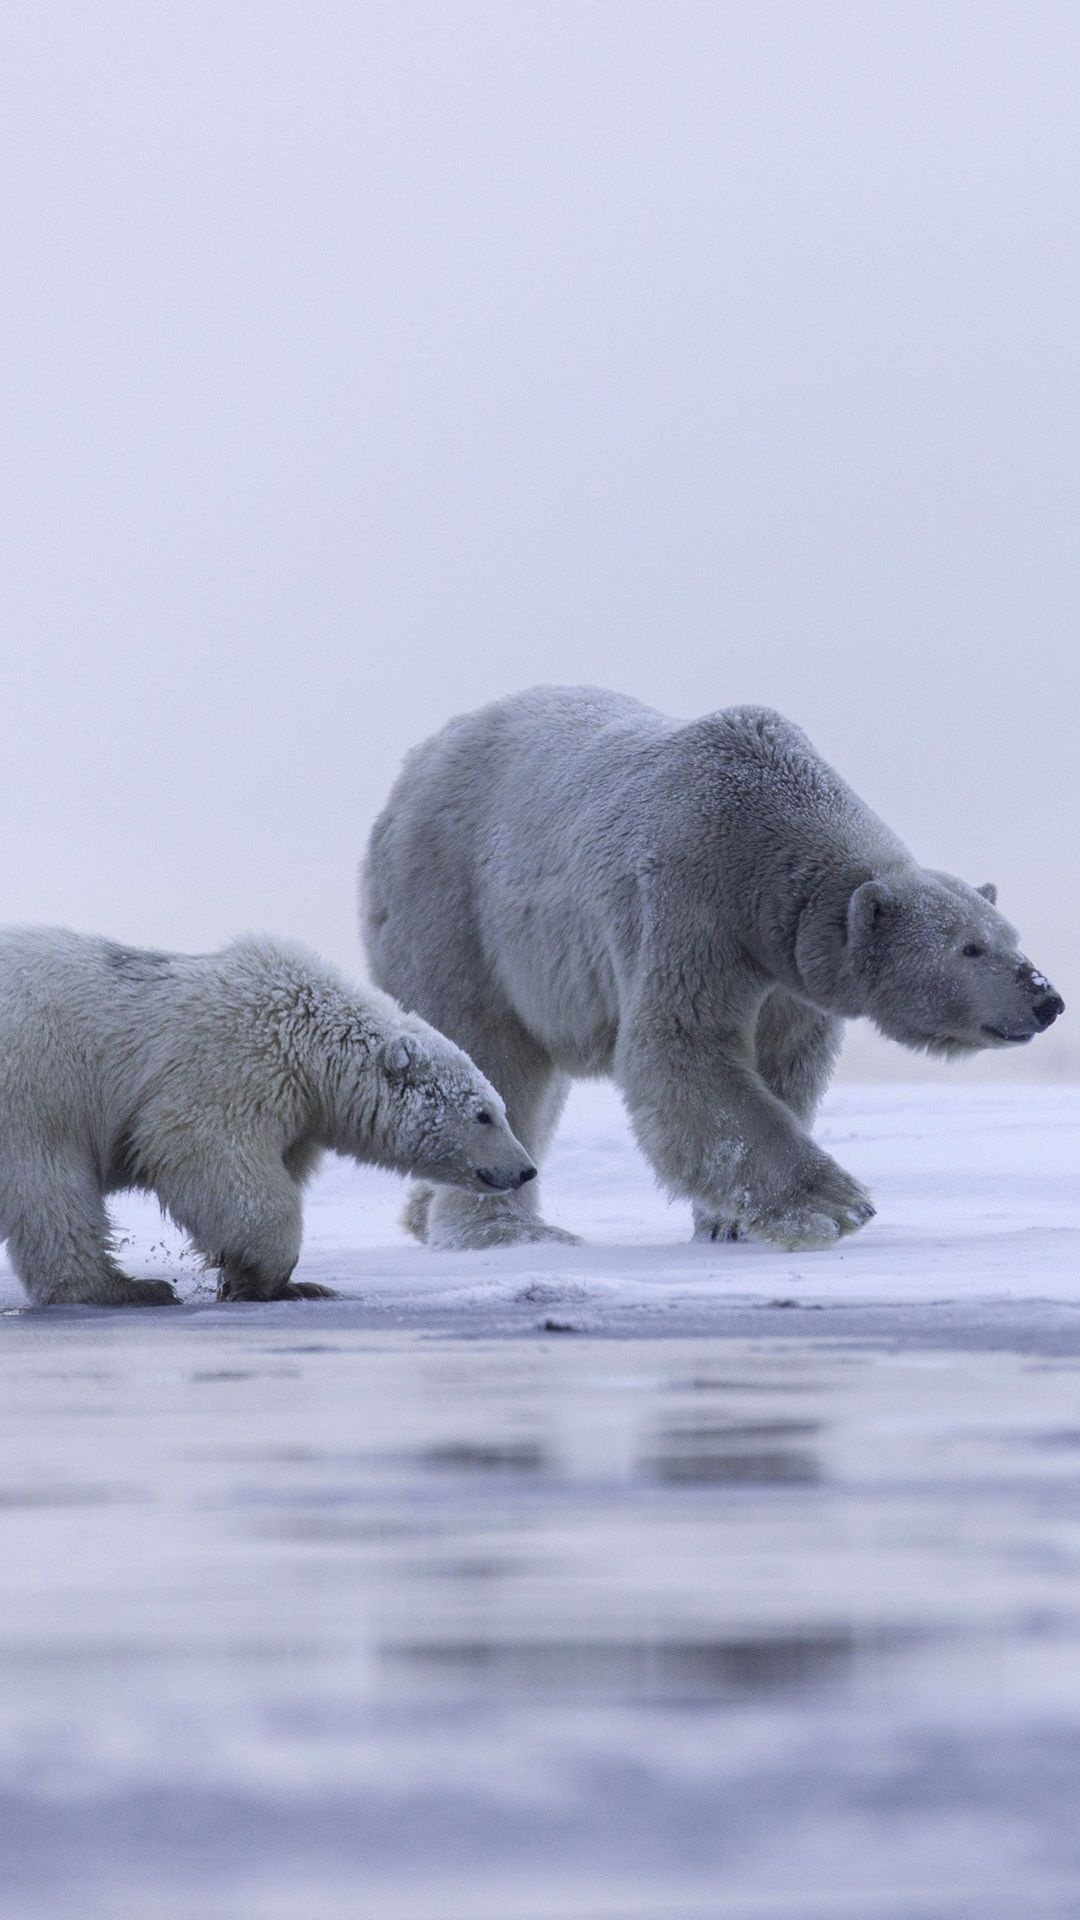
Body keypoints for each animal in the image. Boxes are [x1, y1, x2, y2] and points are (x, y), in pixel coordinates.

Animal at [0, 925, 534, 1305]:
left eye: (499, 1109)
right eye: (484, 1115)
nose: (526, 1169)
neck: (304, 1032)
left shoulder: (298, 1112)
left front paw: (264, 1280)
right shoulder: (231, 1064)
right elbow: (208, 1155)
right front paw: (273, 1277)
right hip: (36, 1083)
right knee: (50, 1186)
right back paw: (125, 1288)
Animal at [359, 691, 1060, 1259]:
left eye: (1011, 937)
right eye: (970, 948)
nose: (1046, 999)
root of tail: (412, 768)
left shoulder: (788, 970)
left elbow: (783, 1063)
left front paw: (728, 1224)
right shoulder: (692, 895)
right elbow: (681, 1048)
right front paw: (832, 1204)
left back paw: (426, 1217)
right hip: (456, 908)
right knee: (490, 1051)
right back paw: (506, 1230)